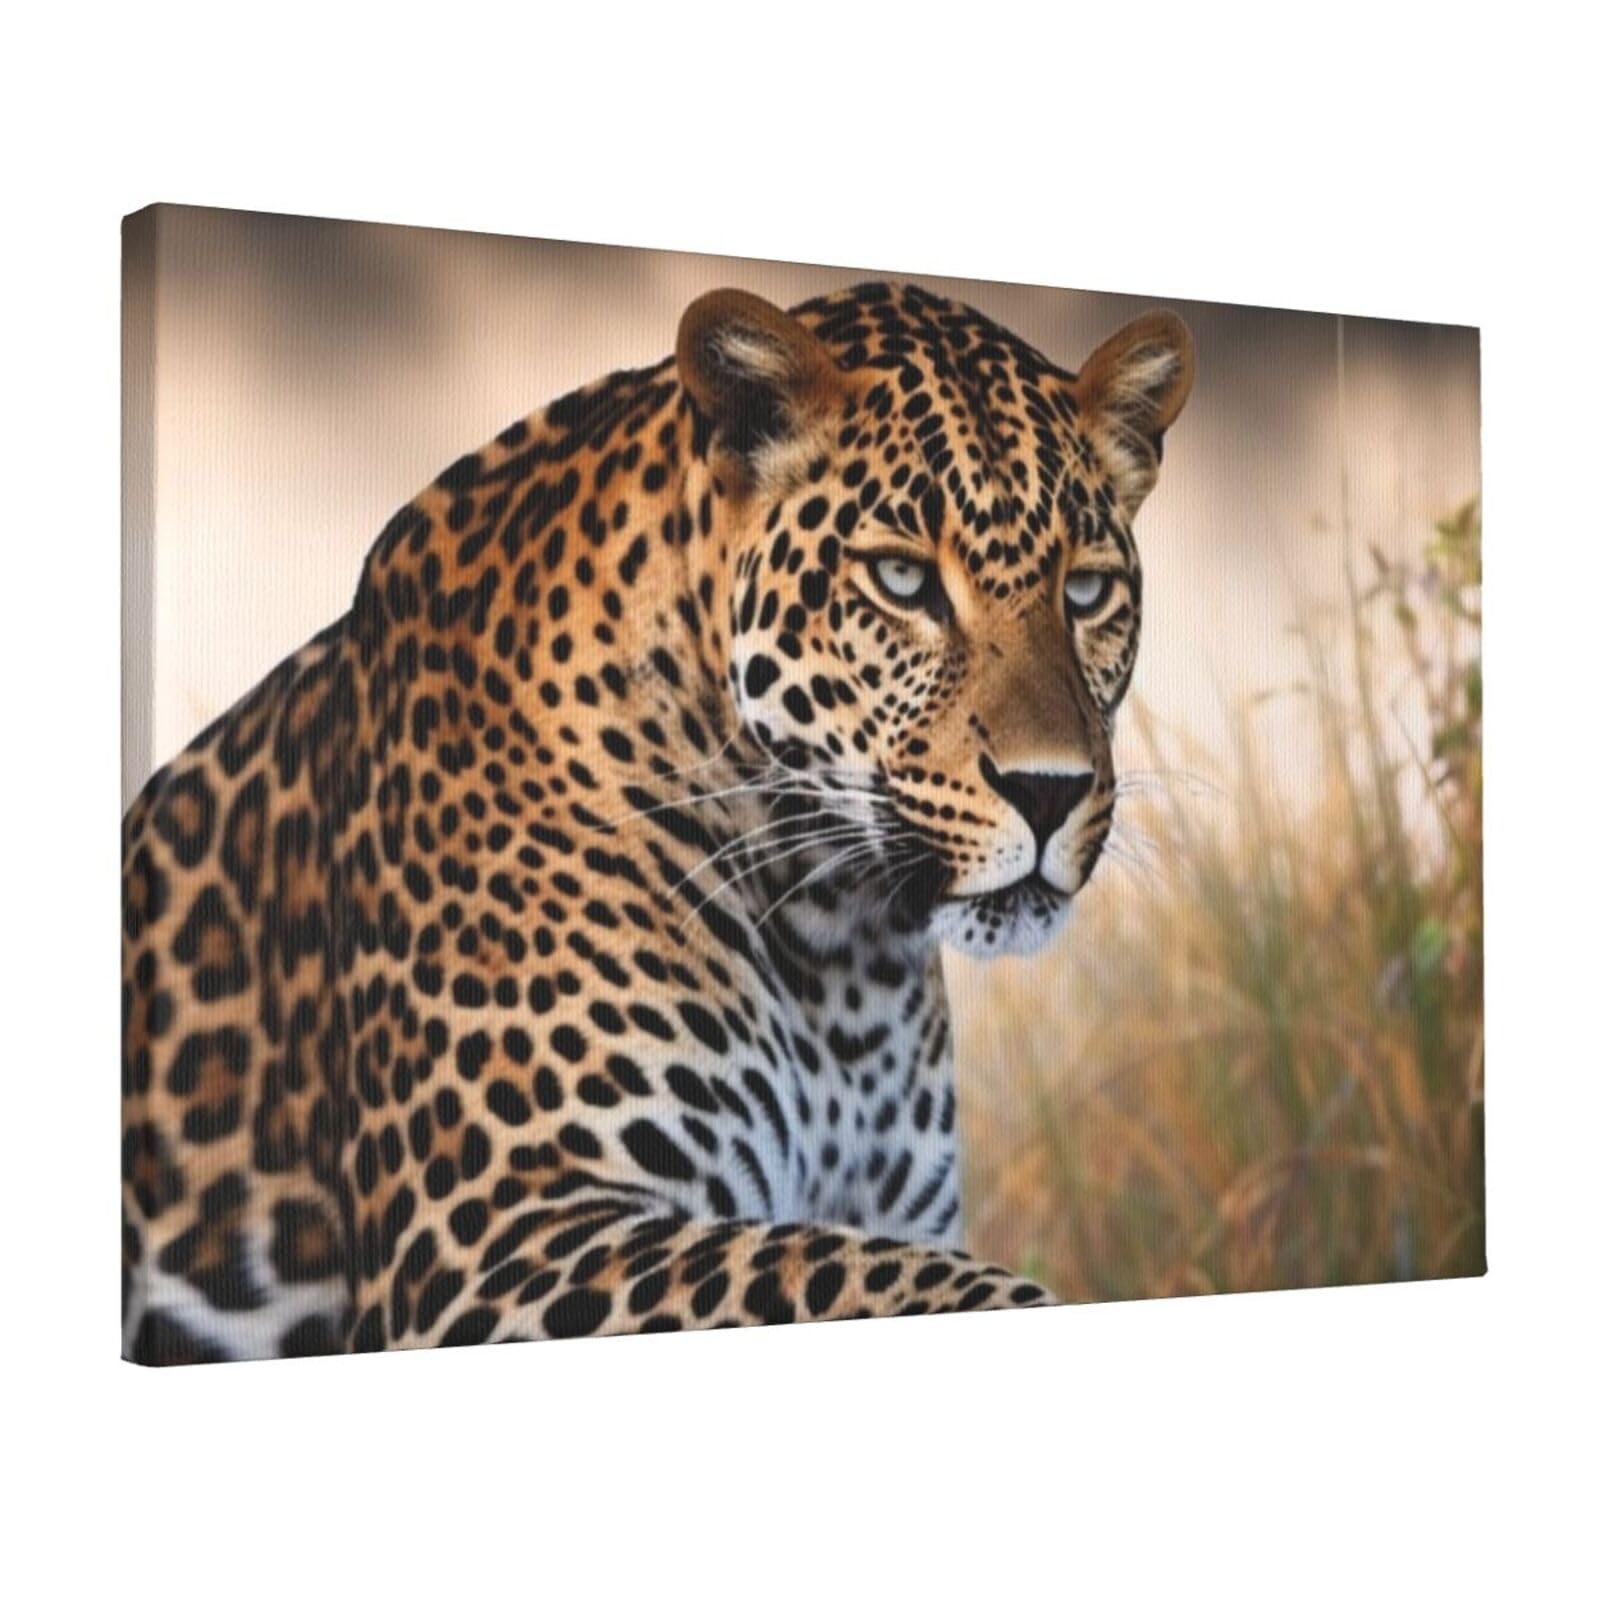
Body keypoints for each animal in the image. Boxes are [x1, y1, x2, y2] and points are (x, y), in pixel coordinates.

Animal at [121, 278, 1194, 1361]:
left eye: (1086, 590)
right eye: (902, 581)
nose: (1049, 790)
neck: (839, 943)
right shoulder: (493, 1245)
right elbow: (877, 1274)